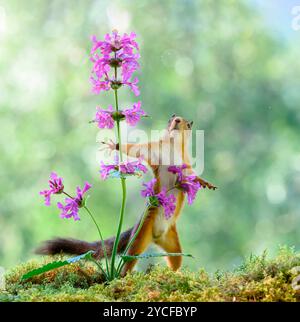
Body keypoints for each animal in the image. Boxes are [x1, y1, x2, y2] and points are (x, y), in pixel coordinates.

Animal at [36, 114, 217, 276]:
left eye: (187, 123)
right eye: (171, 117)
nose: (177, 120)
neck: (171, 147)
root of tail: (156, 237)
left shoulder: (186, 164)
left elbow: (192, 175)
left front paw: (204, 182)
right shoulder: (152, 150)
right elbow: (134, 149)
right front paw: (113, 145)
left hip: (173, 243)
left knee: (175, 260)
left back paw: (175, 274)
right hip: (141, 234)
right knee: (130, 257)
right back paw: (123, 275)